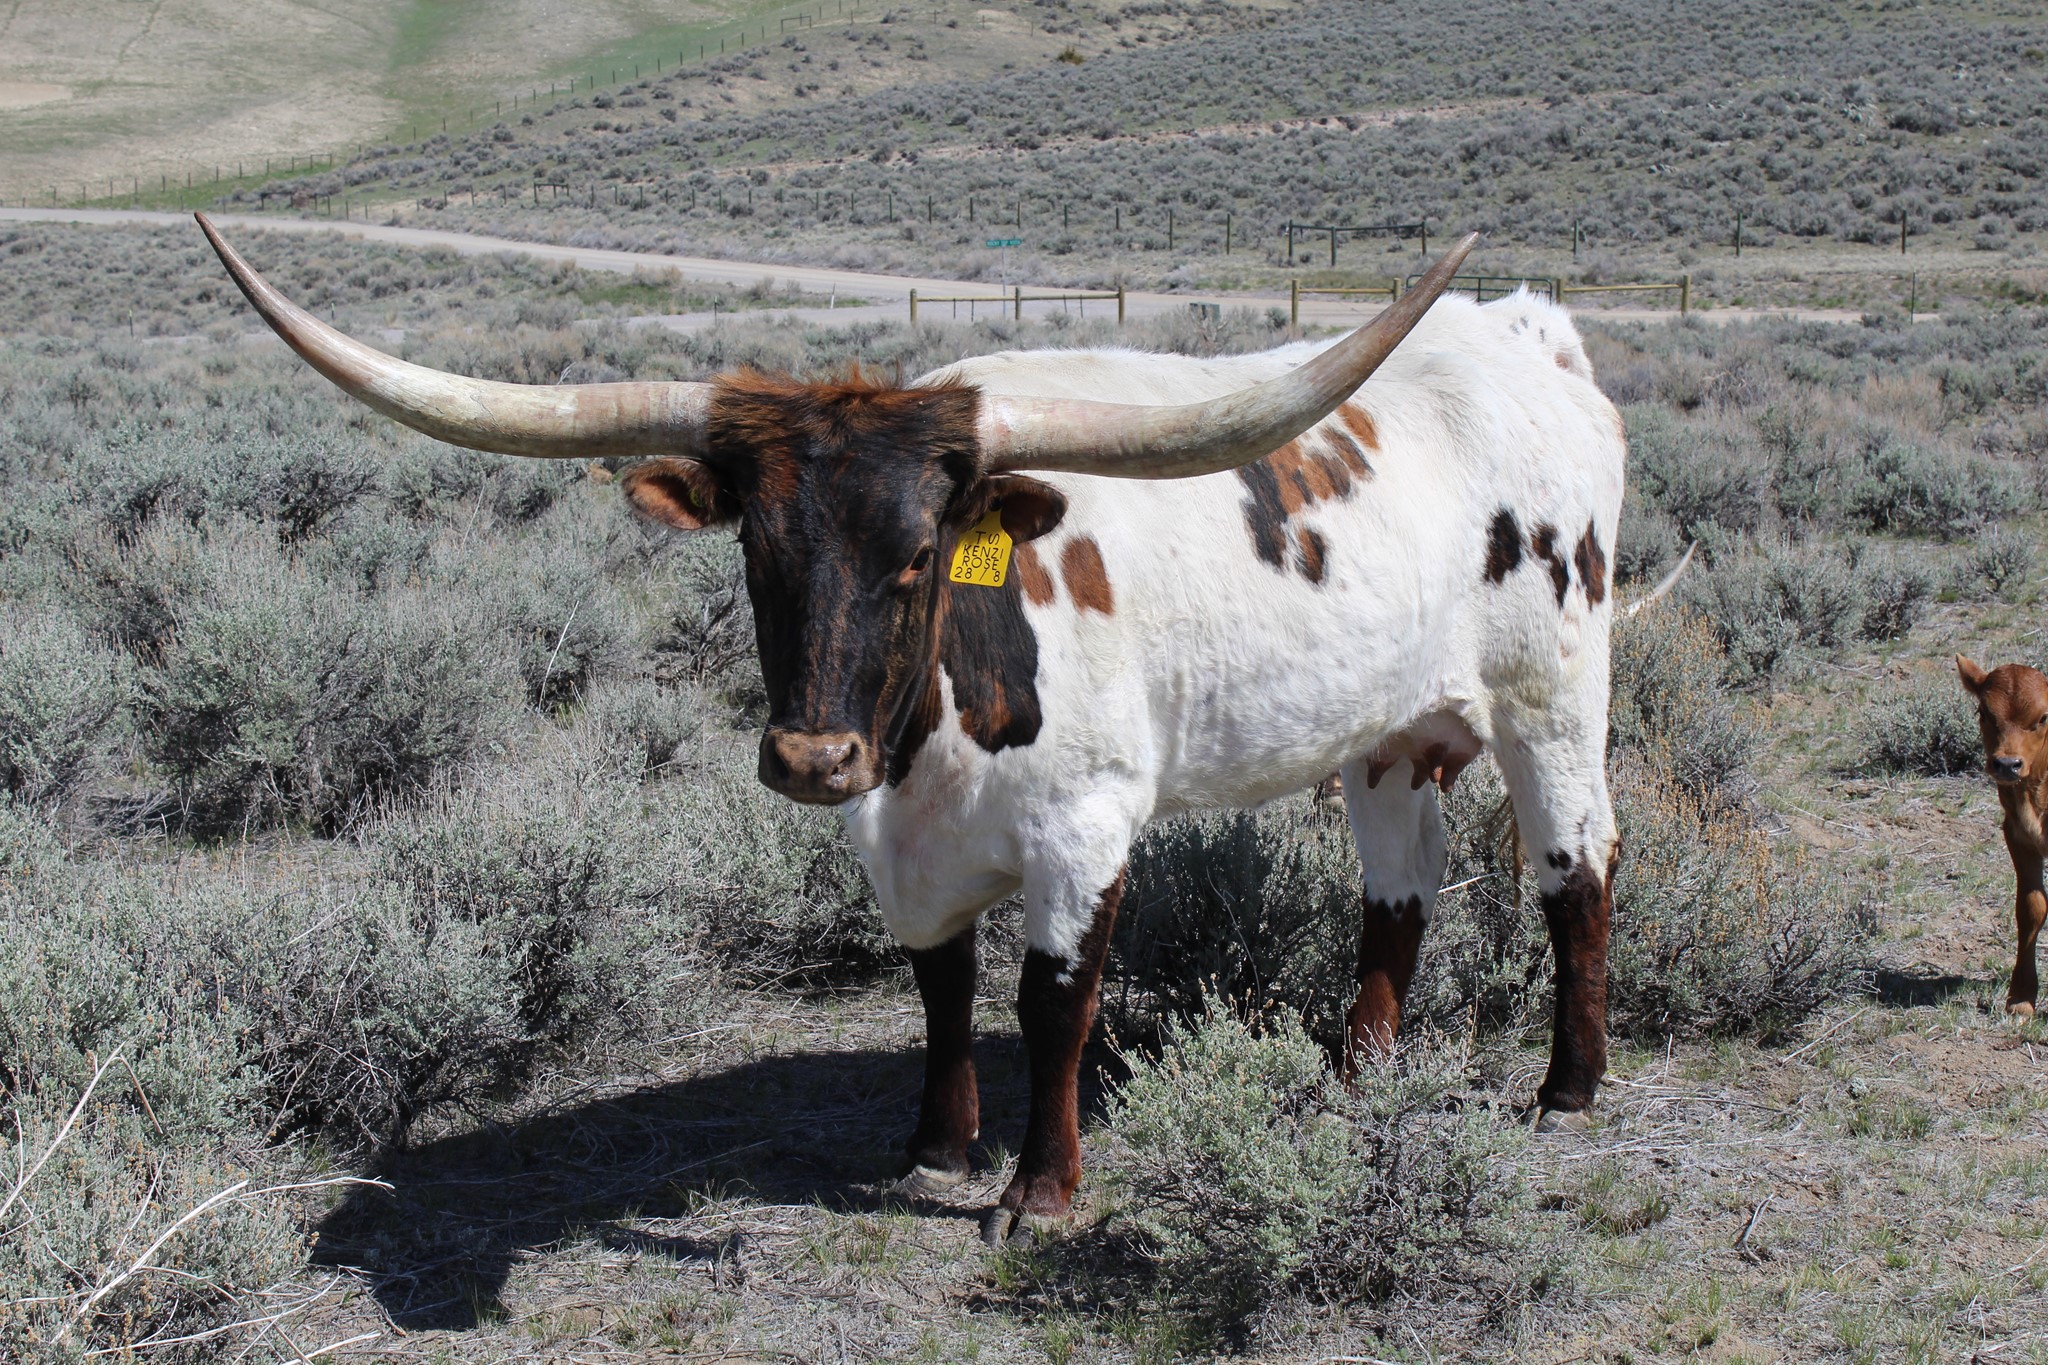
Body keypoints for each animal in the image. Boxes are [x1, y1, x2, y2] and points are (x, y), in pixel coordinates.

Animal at [196, 214, 1626, 1244]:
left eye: (916, 556)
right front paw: (937, 1146)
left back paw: (1564, 1091)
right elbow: (938, 984)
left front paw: (1036, 1192)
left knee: (1577, 868)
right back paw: (1357, 1075)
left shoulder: (1083, 829)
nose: (810, 758)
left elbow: (1054, 1002)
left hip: (1552, 696)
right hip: (1387, 736)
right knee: (1399, 889)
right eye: (757, 555)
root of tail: (1527, 336)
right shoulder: (893, 839)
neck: (926, 737)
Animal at [1957, 656, 2048, 1017]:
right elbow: (2031, 907)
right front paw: (2021, 997)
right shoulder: (2018, 835)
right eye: (1983, 712)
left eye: (2043, 717)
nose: (2008, 764)